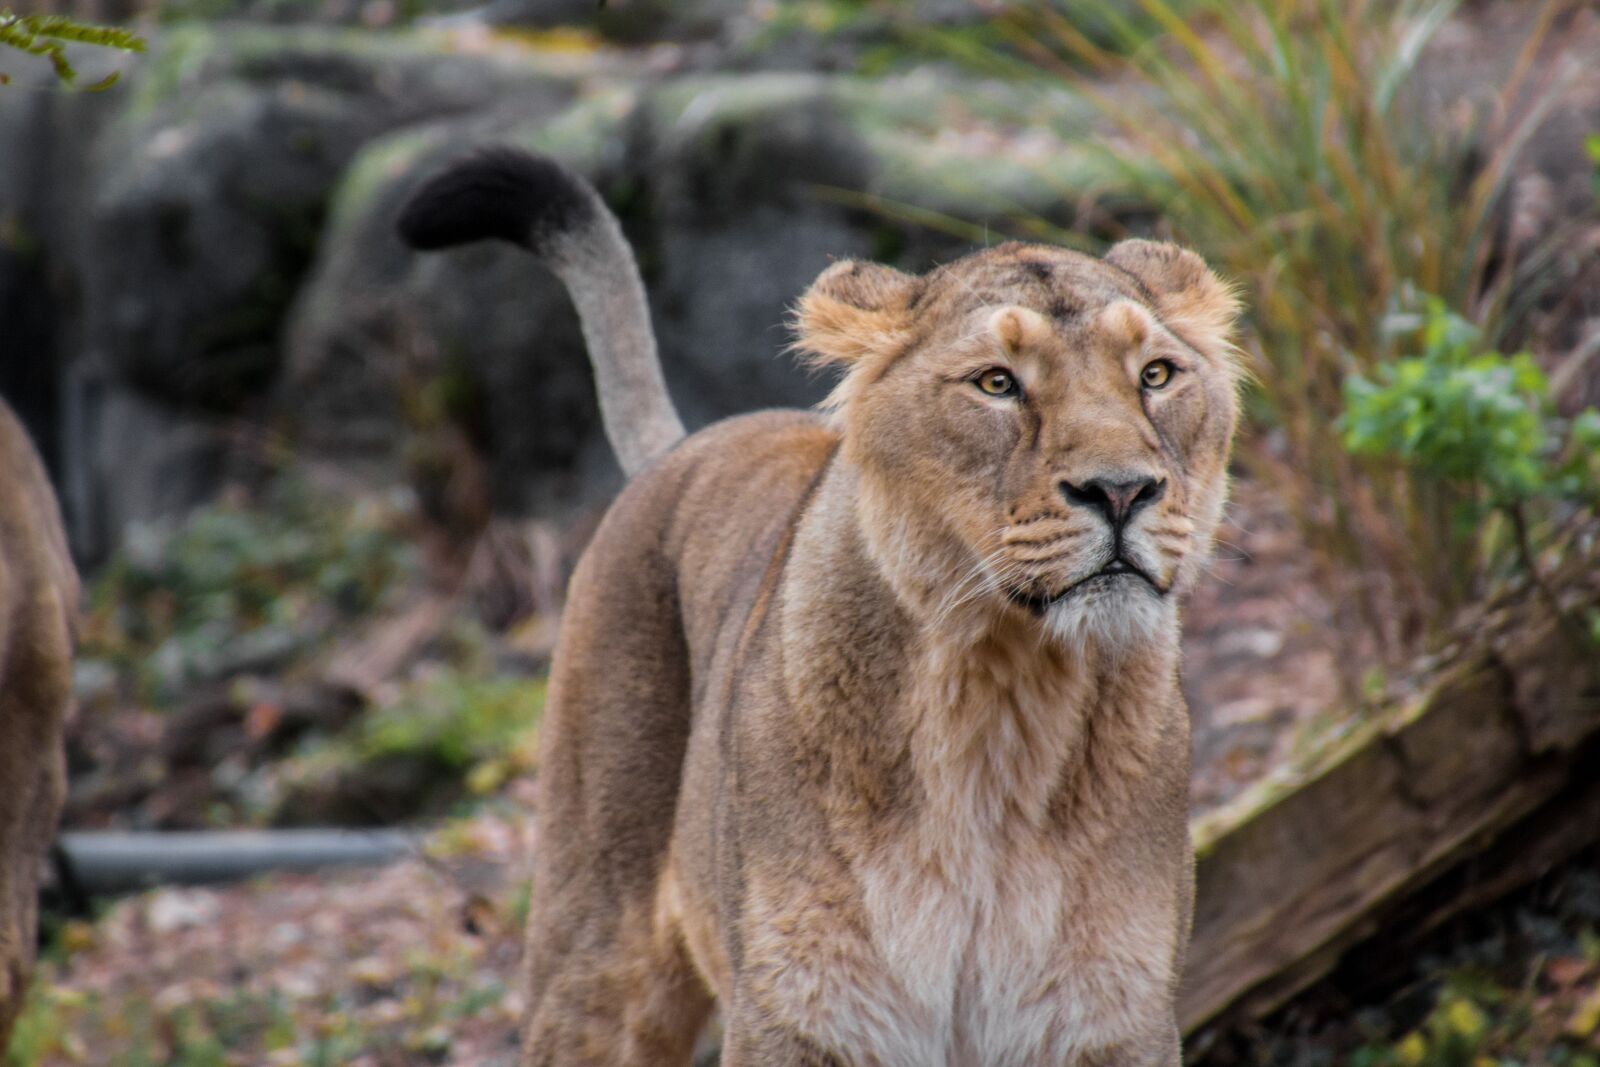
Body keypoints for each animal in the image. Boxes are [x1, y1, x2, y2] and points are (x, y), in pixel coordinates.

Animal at [399, 148, 1242, 1067]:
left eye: (1155, 374)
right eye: (996, 382)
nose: (1122, 490)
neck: (1002, 699)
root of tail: (685, 445)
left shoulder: (1112, 1019)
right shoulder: (802, 1015)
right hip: (591, 954)